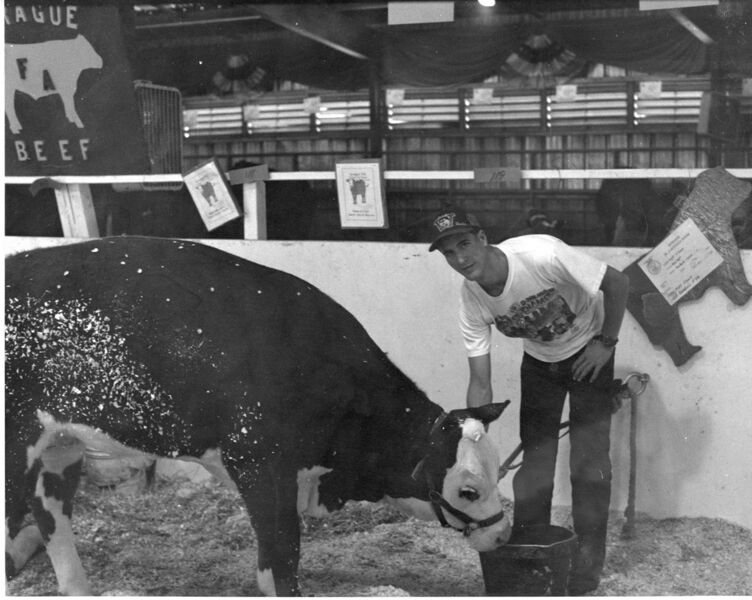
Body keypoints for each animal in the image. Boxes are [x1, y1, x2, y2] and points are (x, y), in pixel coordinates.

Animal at [5, 237, 512, 596]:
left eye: (498, 470)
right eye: (469, 489)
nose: (503, 536)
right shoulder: (260, 466)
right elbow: (280, 565)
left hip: (61, 447)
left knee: (51, 516)